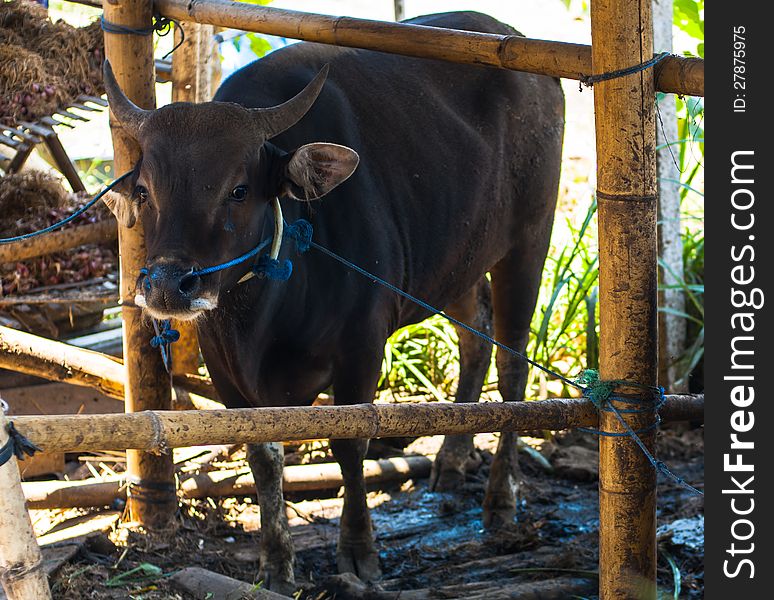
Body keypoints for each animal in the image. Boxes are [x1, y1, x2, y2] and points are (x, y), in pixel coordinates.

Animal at [101, 9, 564, 596]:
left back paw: (501, 500)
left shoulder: (361, 348)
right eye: (145, 191)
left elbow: (350, 444)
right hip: (456, 263)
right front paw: (276, 564)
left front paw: (359, 551)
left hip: (529, 241)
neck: (263, 316)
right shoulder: (227, 372)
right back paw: (453, 460)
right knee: (473, 339)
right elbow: (262, 456)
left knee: (512, 367)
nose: (166, 284)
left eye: (238, 189)